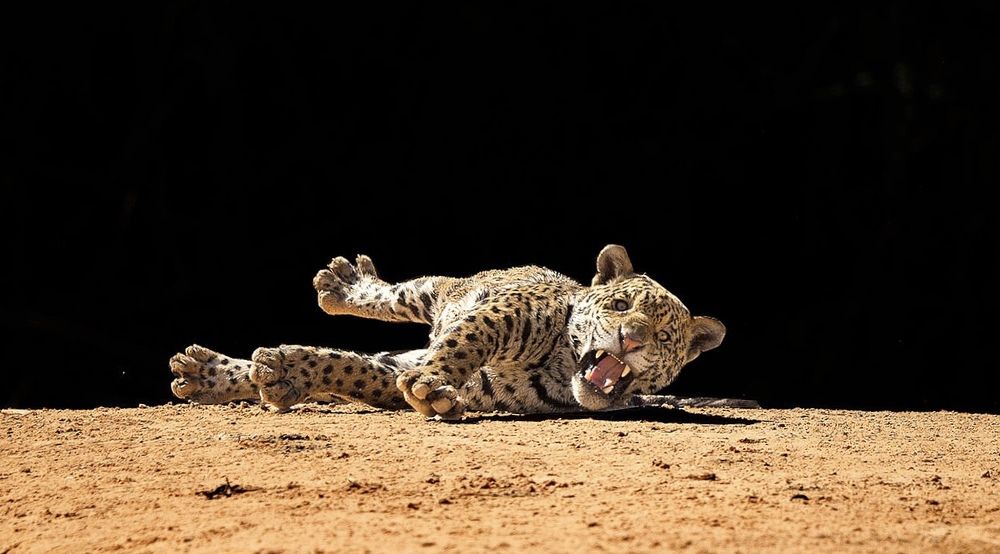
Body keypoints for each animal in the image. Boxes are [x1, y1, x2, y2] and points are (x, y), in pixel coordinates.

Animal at [169, 245, 738, 419]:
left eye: (665, 338)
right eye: (621, 305)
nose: (632, 340)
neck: (559, 367)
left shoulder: (397, 375)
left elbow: (352, 369)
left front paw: (284, 367)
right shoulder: (505, 312)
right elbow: (467, 340)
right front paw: (433, 385)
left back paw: (219, 374)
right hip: (442, 291)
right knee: (400, 296)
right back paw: (342, 285)